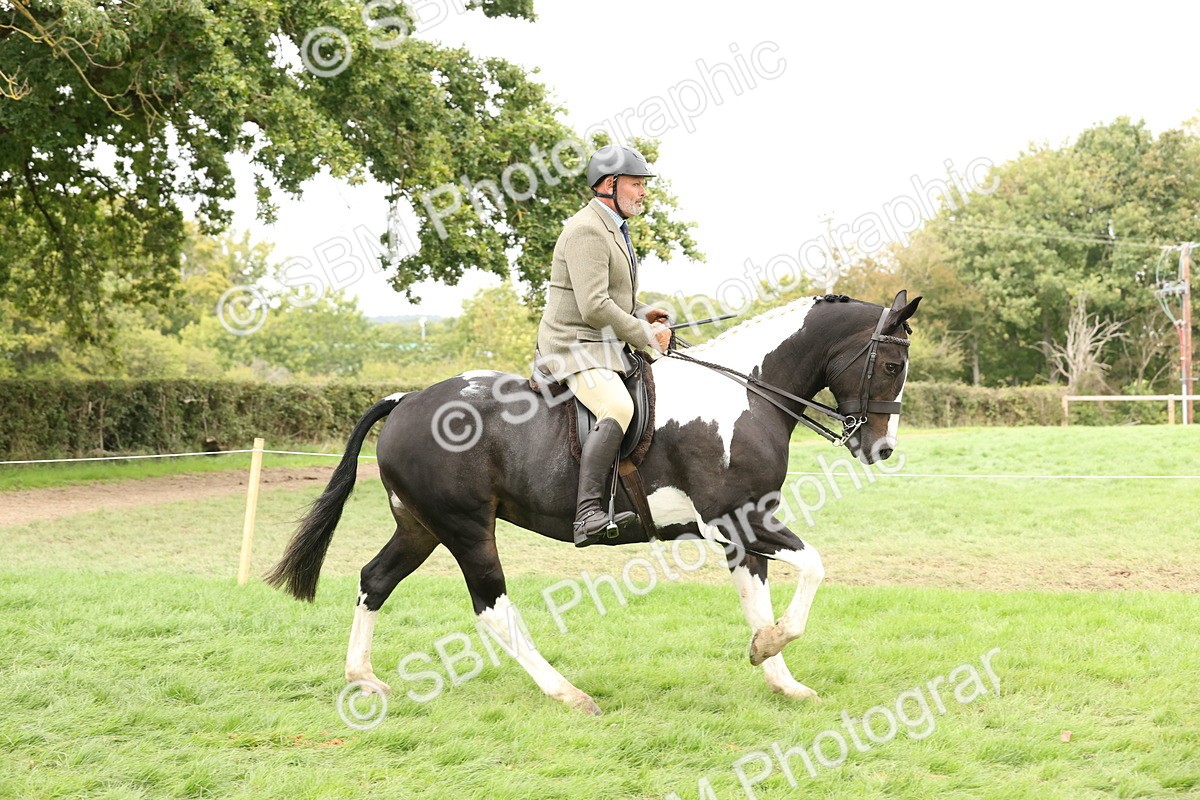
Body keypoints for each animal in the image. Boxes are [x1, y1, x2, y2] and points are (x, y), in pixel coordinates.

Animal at [266, 290, 921, 715]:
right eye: (891, 364)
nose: (882, 447)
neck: (744, 398)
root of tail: (405, 401)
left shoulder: (741, 529)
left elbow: (757, 601)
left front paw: (779, 676)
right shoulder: (741, 520)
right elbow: (814, 567)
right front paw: (771, 650)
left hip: (420, 527)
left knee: (375, 580)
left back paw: (364, 679)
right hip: (467, 529)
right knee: (492, 609)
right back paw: (569, 694)